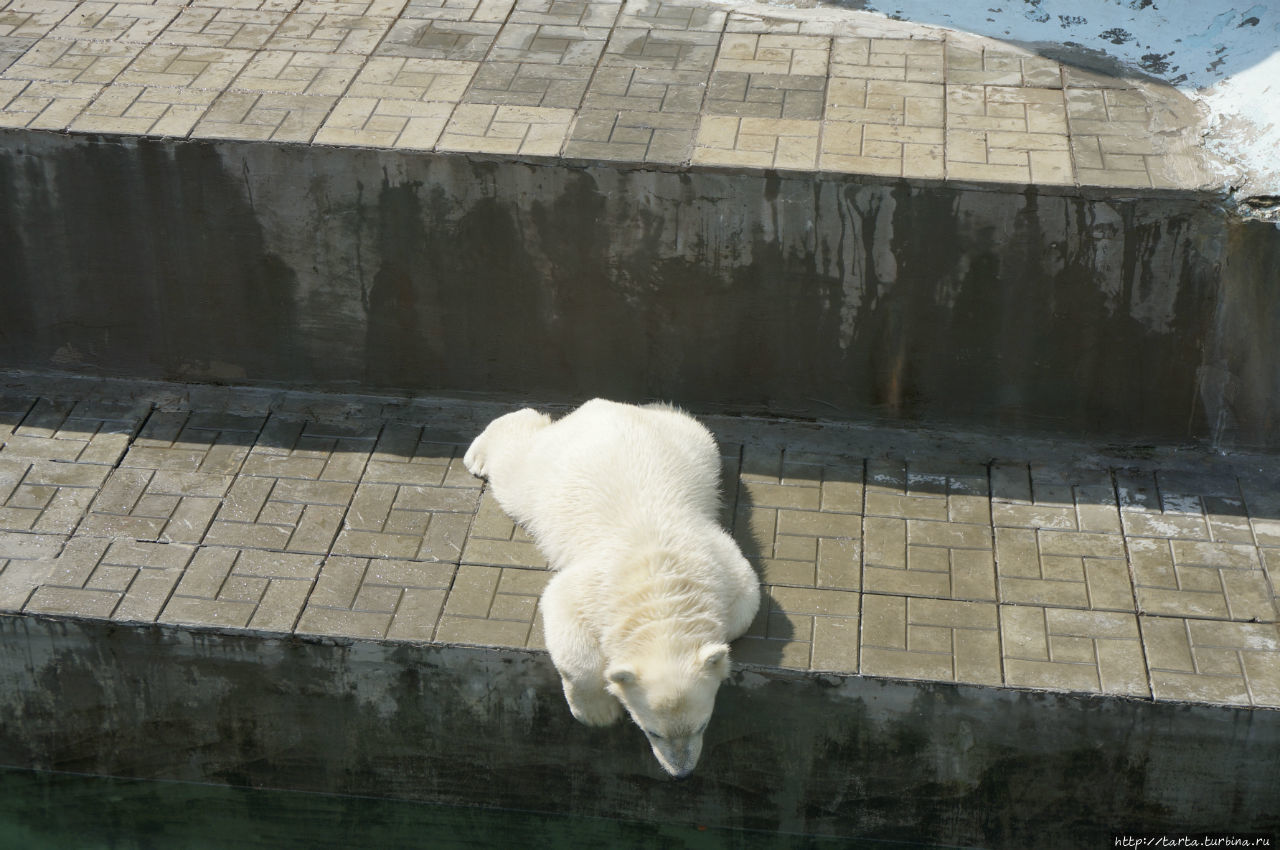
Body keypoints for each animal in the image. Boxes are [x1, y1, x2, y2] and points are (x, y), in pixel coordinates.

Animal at [463, 399, 752, 778]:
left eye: (702, 725)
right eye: (652, 732)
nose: (681, 772)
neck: (659, 584)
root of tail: (601, 407)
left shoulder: (720, 564)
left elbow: (746, 602)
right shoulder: (597, 583)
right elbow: (562, 607)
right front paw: (597, 711)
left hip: (694, 443)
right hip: (546, 472)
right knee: (515, 467)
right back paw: (480, 455)